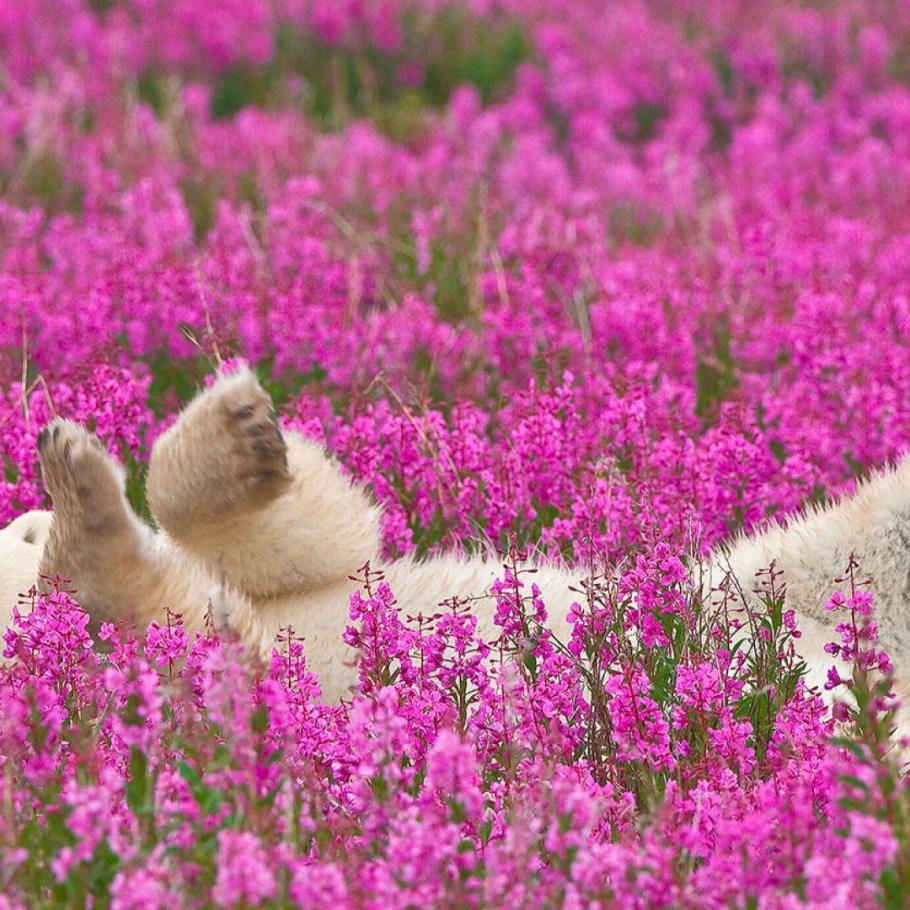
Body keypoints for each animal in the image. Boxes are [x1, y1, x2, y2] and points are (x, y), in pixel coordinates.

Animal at [0, 366, 908, 732]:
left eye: (17, 526)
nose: (31, 519)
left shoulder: (308, 581)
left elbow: (327, 537)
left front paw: (243, 429)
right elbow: (210, 651)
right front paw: (83, 500)